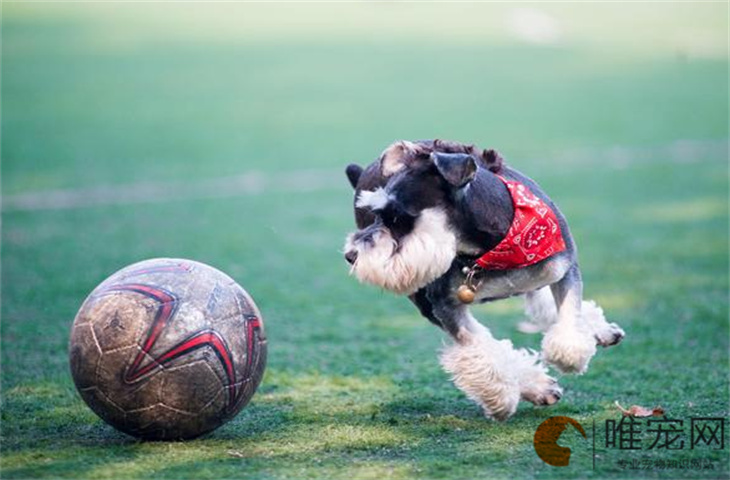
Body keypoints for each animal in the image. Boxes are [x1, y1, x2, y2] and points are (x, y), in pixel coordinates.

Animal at [344, 139, 624, 420]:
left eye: (398, 217)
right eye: (375, 216)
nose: (351, 255)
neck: (492, 246)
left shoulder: (563, 266)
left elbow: (568, 310)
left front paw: (569, 353)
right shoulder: (443, 305)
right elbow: (480, 345)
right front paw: (504, 396)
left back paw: (600, 330)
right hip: (421, 297)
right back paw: (539, 387)